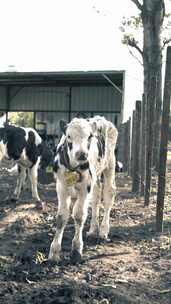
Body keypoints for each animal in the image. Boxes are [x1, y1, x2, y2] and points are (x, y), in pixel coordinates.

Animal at [48, 116, 117, 264]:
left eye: (90, 136)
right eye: (68, 136)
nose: (81, 154)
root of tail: (101, 119)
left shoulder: (85, 188)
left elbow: (79, 215)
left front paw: (76, 250)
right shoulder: (61, 187)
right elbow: (61, 217)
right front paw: (54, 253)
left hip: (110, 165)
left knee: (108, 196)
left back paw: (103, 231)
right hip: (95, 177)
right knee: (96, 198)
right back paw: (93, 230)